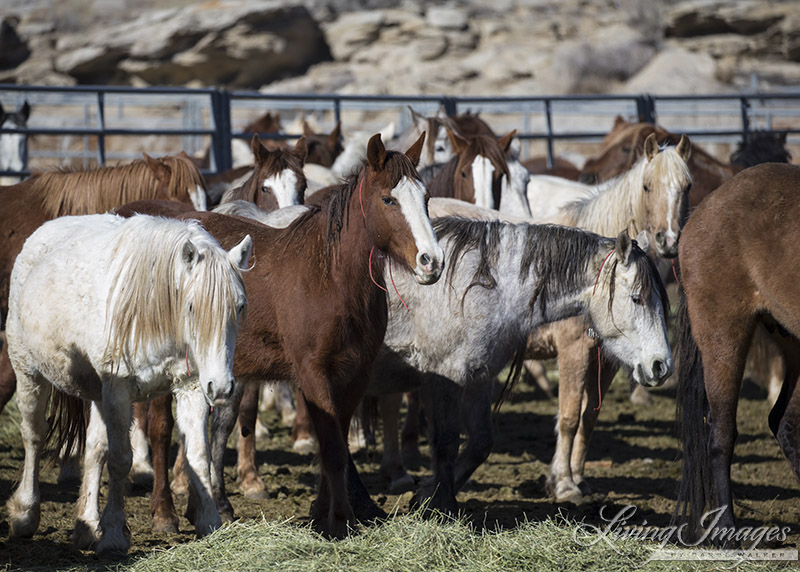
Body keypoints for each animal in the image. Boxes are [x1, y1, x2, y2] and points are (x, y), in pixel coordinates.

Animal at [4, 212, 250, 556]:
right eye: (191, 307)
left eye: (239, 306)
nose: (223, 387)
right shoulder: (119, 391)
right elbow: (121, 461)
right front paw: (113, 535)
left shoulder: (189, 388)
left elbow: (198, 457)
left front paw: (210, 524)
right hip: (29, 372)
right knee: (34, 437)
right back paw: (26, 515)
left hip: (97, 393)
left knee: (94, 449)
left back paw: (86, 524)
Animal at [112, 132, 444, 540]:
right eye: (388, 199)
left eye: (425, 198)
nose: (432, 261)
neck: (330, 276)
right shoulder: (312, 374)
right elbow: (333, 449)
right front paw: (338, 521)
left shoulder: (354, 376)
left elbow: (335, 443)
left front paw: (322, 514)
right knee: (160, 430)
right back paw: (164, 512)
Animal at [372, 213, 672, 510]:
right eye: (637, 298)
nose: (662, 366)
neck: (479, 289)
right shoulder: (446, 377)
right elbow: (446, 442)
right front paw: (440, 504)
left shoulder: (478, 377)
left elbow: (481, 443)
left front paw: (426, 494)